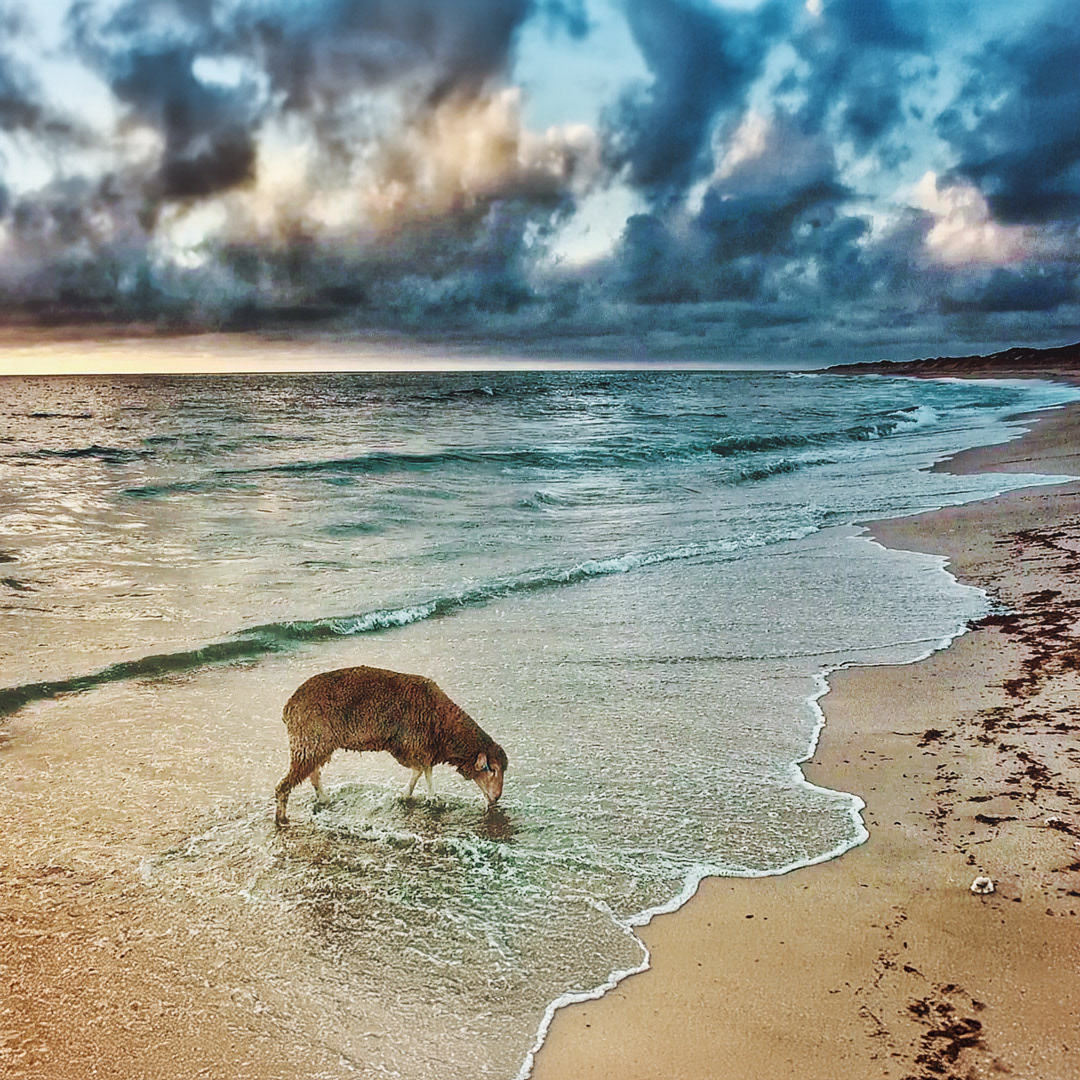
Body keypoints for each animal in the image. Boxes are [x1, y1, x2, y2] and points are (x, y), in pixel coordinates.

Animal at [274, 665, 508, 826]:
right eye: (492, 769)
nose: (496, 798)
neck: (443, 725)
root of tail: (288, 707)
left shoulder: (415, 746)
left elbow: (420, 771)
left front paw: (411, 795)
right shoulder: (417, 743)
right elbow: (425, 771)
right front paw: (430, 797)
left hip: (315, 745)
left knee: (312, 773)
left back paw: (322, 799)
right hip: (309, 741)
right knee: (286, 785)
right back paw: (282, 818)